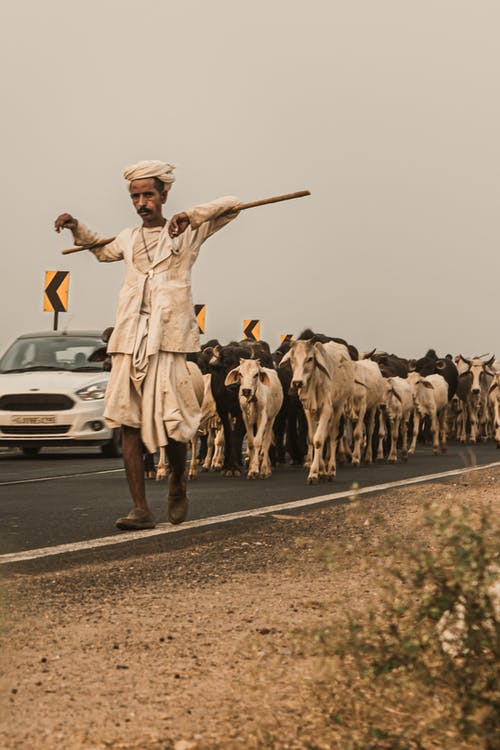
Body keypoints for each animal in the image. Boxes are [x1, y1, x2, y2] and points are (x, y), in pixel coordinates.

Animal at [280, 340, 354, 484]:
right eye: (292, 359)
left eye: (310, 359)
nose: (297, 382)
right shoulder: (308, 410)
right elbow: (312, 438)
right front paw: (320, 471)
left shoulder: (327, 409)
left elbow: (319, 440)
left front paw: (314, 473)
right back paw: (324, 470)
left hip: (338, 406)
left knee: (332, 436)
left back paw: (331, 470)